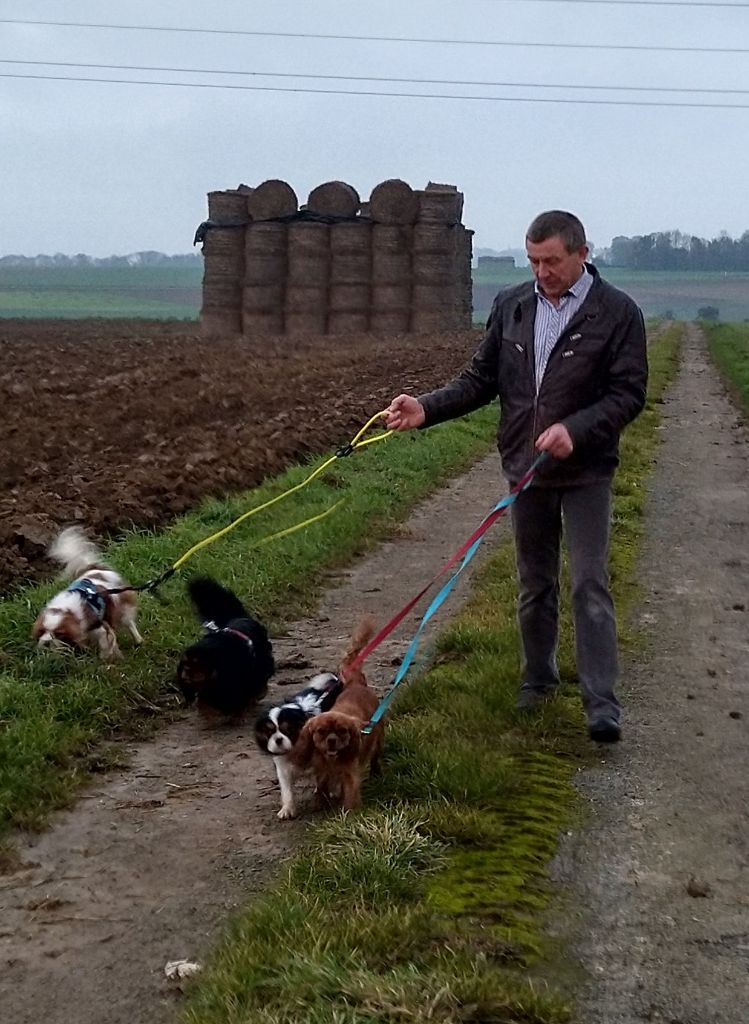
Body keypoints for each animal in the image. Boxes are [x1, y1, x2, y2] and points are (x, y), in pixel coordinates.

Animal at [31, 524, 142, 659]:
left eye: (58, 634)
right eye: (42, 631)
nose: (47, 641)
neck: (69, 611)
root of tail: (93, 568)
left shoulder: (100, 627)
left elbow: (106, 643)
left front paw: (106, 657)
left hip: (122, 607)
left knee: (130, 623)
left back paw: (138, 640)